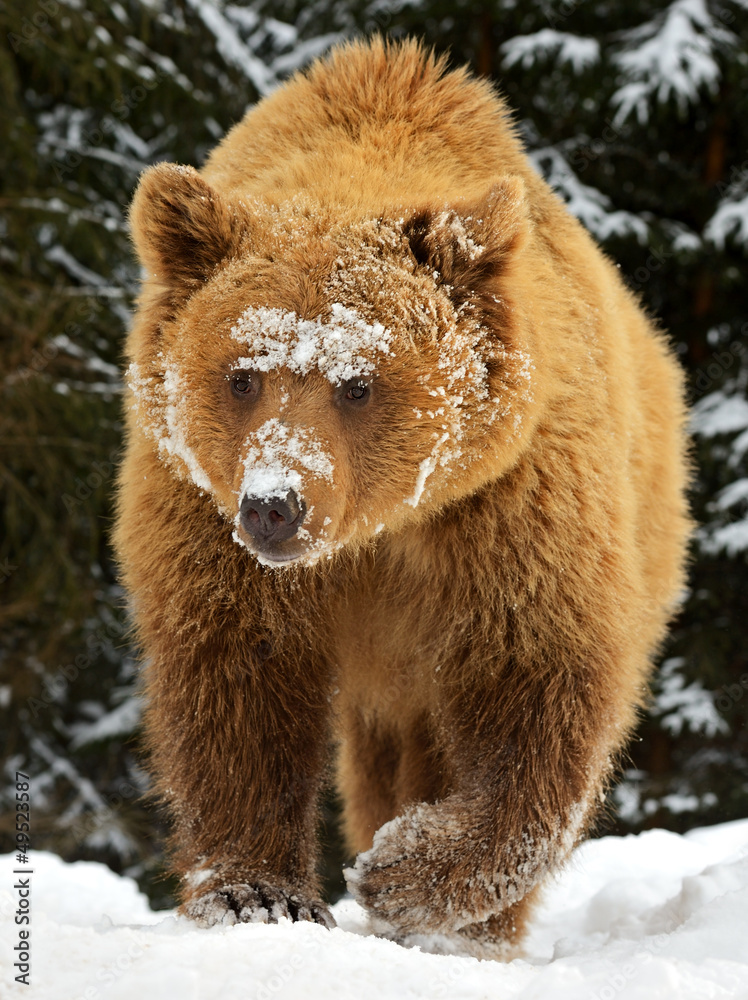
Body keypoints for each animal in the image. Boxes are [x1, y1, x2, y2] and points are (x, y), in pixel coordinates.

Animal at [114, 37, 691, 959]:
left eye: (358, 384)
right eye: (242, 376)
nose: (276, 505)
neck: (376, 533)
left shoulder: (505, 512)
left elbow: (535, 684)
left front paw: (406, 876)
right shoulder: (201, 519)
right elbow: (238, 684)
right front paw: (258, 895)